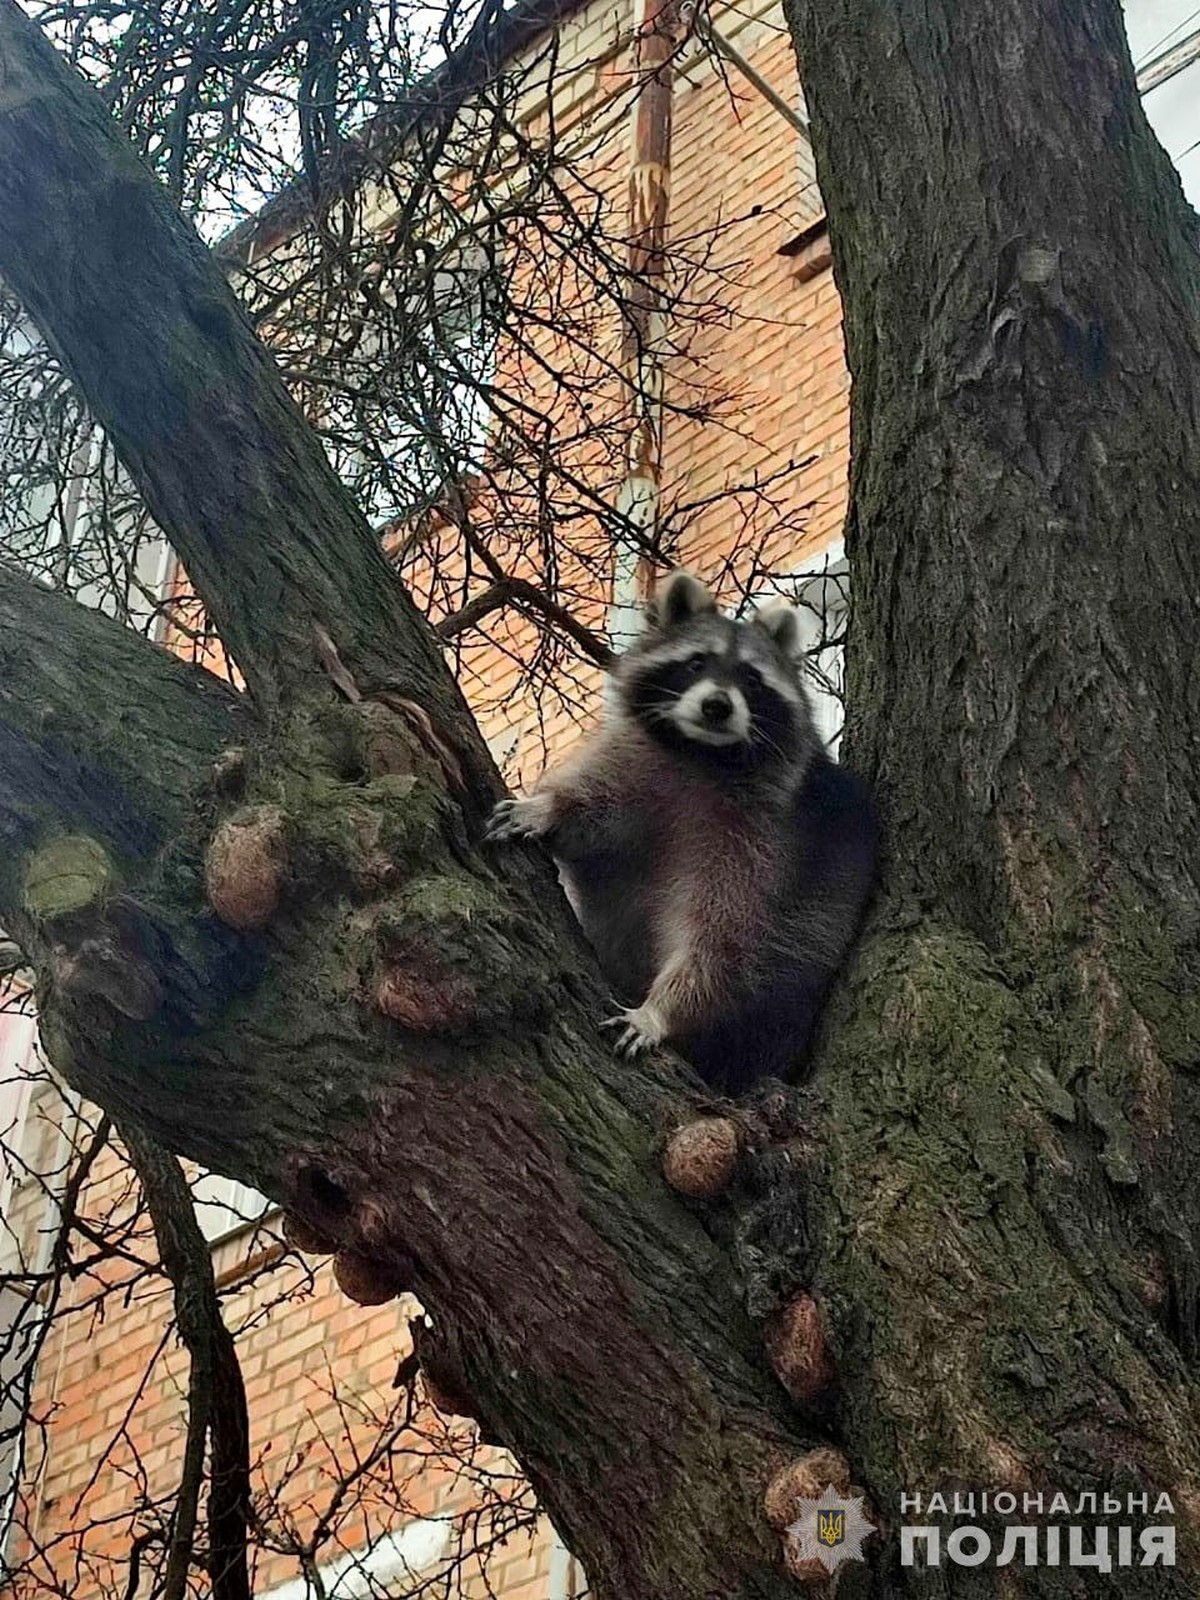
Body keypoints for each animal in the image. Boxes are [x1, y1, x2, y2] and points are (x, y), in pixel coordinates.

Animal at [483, 569, 876, 1094]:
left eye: (752, 679)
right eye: (695, 663)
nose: (717, 706)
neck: (703, 756)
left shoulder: (769, 840)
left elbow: (727, 938)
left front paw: (662, 1011)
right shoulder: (637, 762)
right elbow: (591, 814)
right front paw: (546, 807)